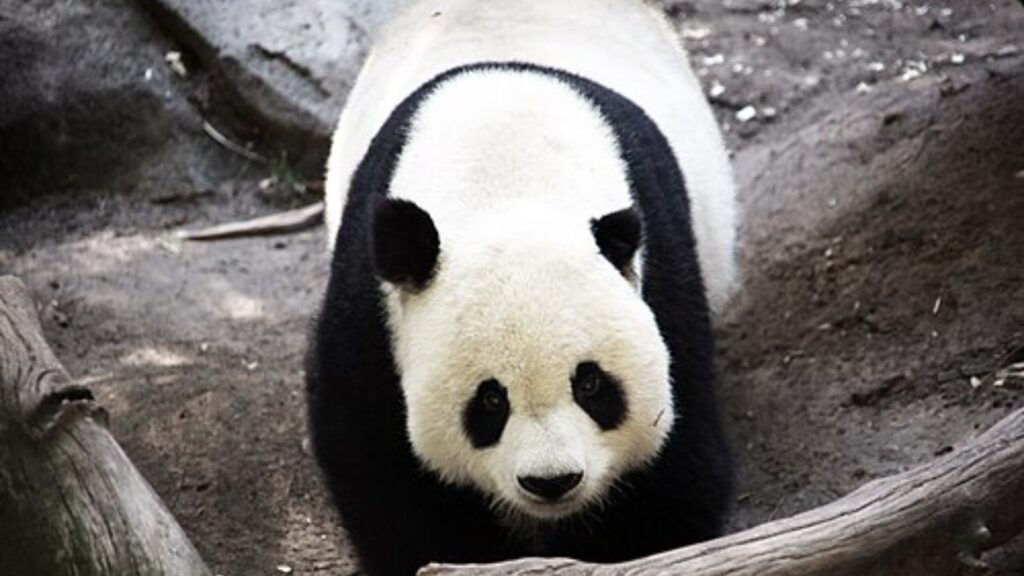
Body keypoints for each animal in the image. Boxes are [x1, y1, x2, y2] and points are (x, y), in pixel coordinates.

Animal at [307, 1, 737, 575]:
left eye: (591, 384)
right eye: (490, 400)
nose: (552, 482)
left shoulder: (664, 272)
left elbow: (674, 465)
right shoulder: (373, 304)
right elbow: (379, 459)